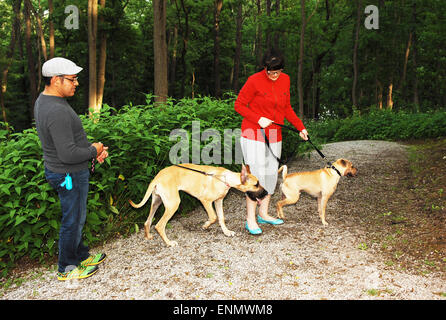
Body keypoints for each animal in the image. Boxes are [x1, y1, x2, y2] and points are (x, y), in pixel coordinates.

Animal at [129, 164, 268, 246]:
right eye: (256, 184)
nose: (266, 193)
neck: (224, 178)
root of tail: (157, 178)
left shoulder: (219, 201)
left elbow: (221, 218)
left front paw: (226, 232)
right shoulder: (205, 201)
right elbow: (213, 217)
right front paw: (205, 225)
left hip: (156, 202)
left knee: (147, 222)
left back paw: (148, 236)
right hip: (173, 204)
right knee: (159, 225)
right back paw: (169, 243)